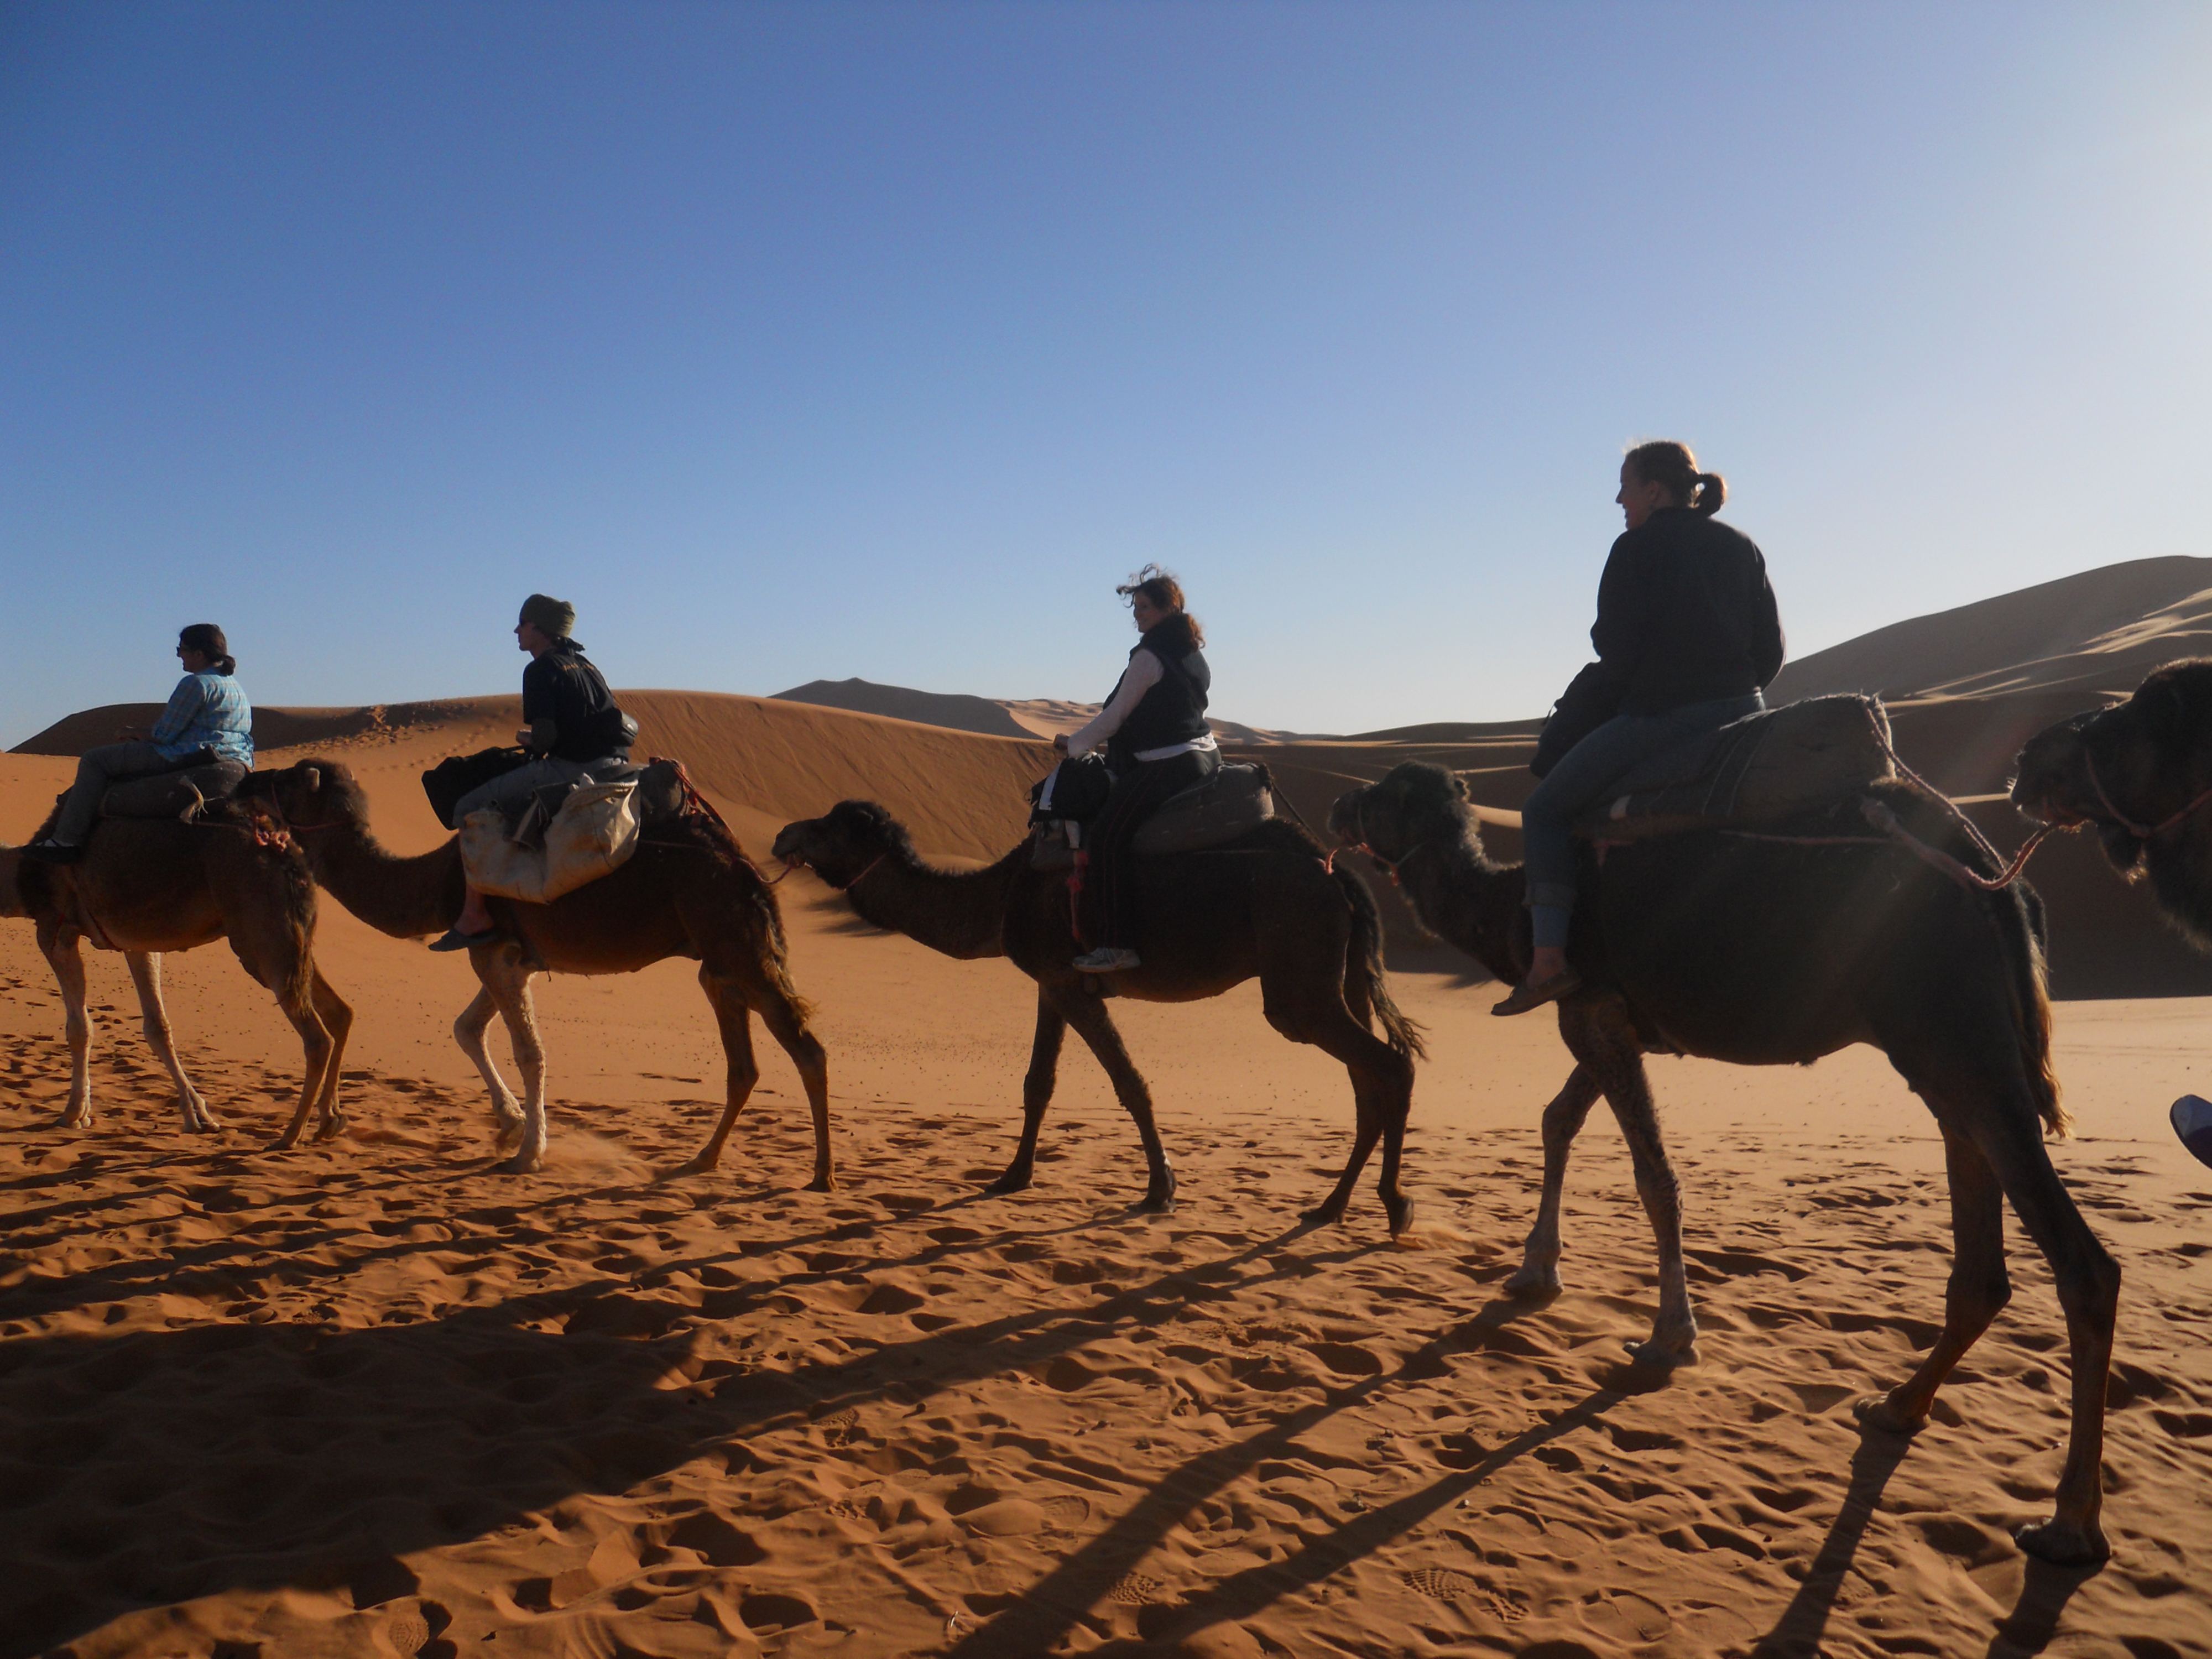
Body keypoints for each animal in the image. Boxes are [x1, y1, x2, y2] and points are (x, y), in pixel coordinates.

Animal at [1, 807, 350, 1146]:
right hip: (291, 935)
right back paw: (329, 1120)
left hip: (260, 935)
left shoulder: (54, 931)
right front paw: (199, 1116)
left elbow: (79, 1029)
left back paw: (290, 1135)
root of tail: (289, 853)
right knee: (340, 1011)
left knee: (317, 1038)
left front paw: (73, 1114)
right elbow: (158, 1026)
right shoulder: (136, 940)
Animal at [245, 758, 832, 1185]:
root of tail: (744, 867)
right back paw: (702, 1160)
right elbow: (468, 1029)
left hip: (734, 941)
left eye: (288, 779)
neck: (440, 881)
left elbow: (529, 1052)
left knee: (807, 1050)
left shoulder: (493, 951)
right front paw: (510, 1128)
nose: (244, 782)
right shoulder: (513, 955)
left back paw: (821, 1176)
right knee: (744, 1065)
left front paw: (528, 1152)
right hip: (721, 960)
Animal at [769, 801, 1424, 1229]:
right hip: (1337, 980)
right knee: (1368, 1082)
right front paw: (1013, 1176)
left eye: (830, 825)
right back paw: (1333, 1205)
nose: (782, 835)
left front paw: (1161, 1189)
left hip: (1297, 987)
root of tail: (1341, 877)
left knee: (1389, 1066)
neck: (999, 896)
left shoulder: (1072, 985)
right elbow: (1039, 1082)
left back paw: (1395, 1205)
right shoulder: (1053, 982)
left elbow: (1130, 1084)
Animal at [1327, 762, 2118, 1566]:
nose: (1338, 807)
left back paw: (2069, 1524)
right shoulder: (1617, 1021)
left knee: (2082, 1265)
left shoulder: (1591, 1006)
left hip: (1949, 1027)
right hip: (1944, 1053)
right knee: (1981, 1253)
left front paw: (1671, 1334)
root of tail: (1998, 883)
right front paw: (1535, 1269)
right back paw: (1898, 1406)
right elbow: (1558, 1120)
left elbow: (1653, 1177)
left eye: (1382, 794)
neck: (1508, 910)